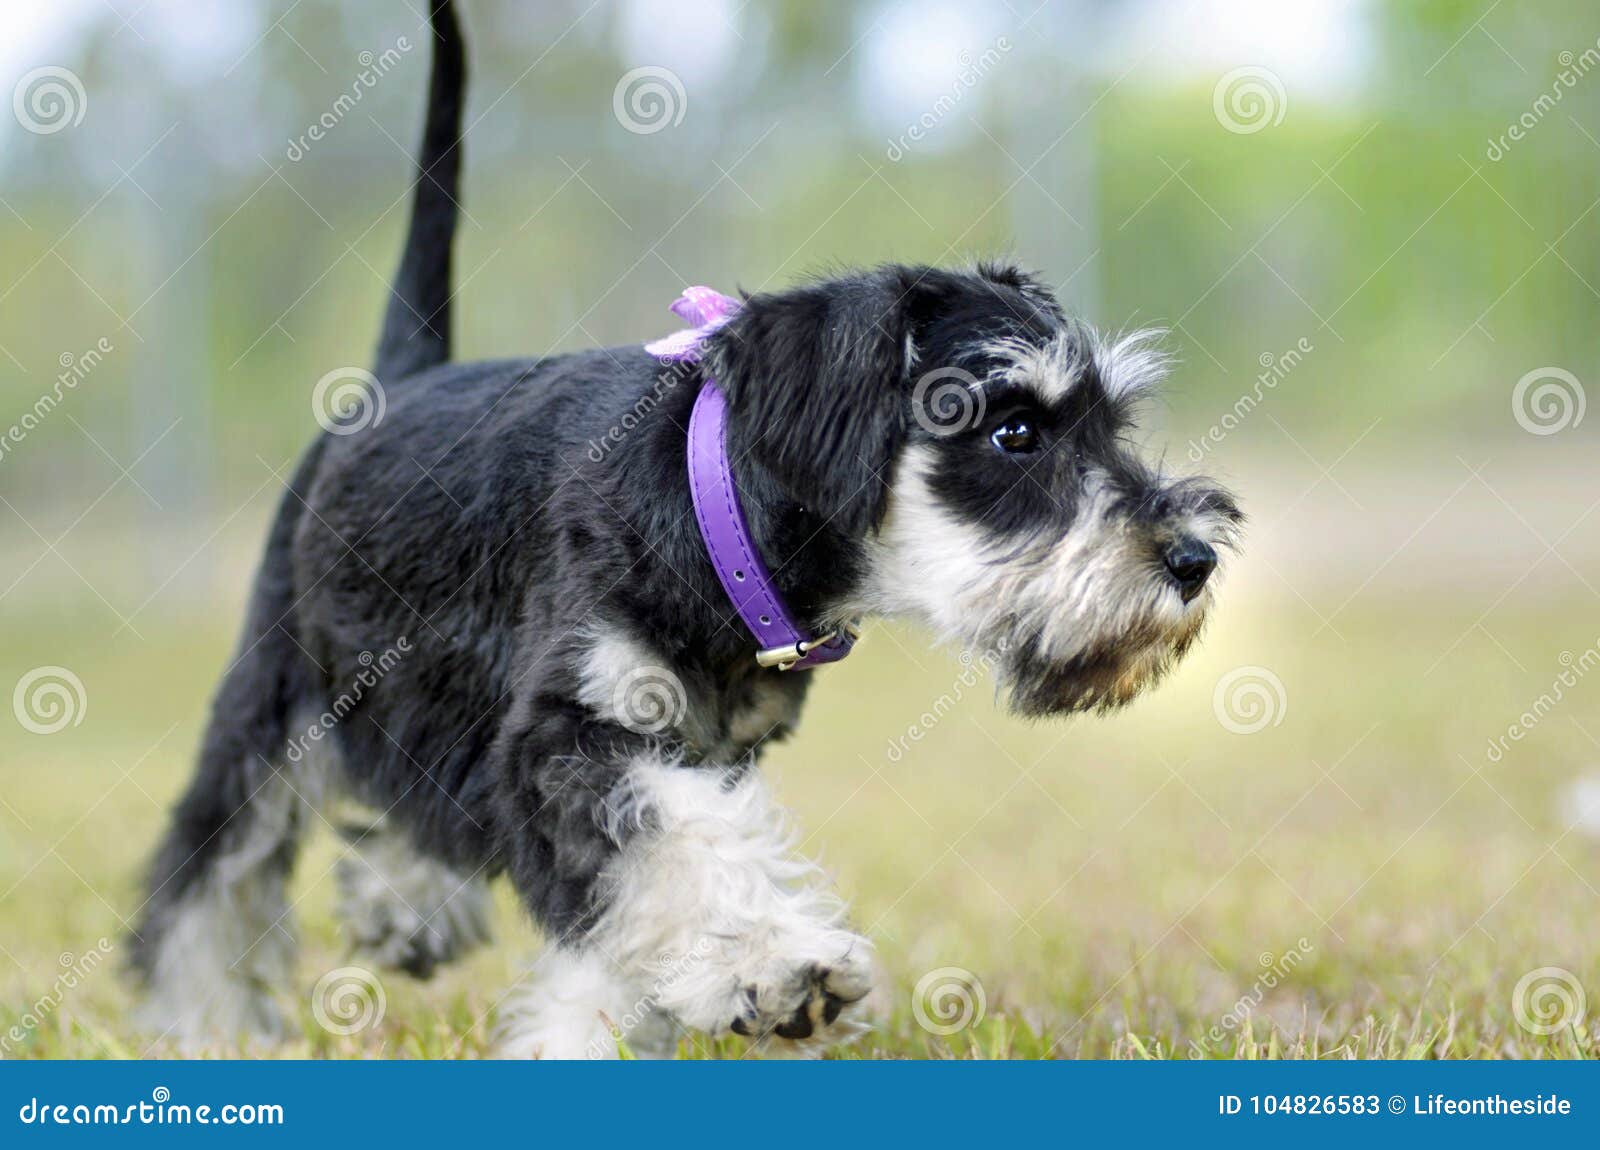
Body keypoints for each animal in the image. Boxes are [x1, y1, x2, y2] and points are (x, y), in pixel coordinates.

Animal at [131, 2, 1241, 1062]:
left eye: (1112, 427)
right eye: (1014, 430)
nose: (1192, 561)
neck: (714, 524)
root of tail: (393, 382)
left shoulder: (685, 751)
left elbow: (636, 902)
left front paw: (585, 1034)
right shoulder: (572, 731)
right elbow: (679, 851)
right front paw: (778, 967)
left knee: (425, 812)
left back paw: (407, 907)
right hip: (279, 686)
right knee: (210, 866)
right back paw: (201, 1016)